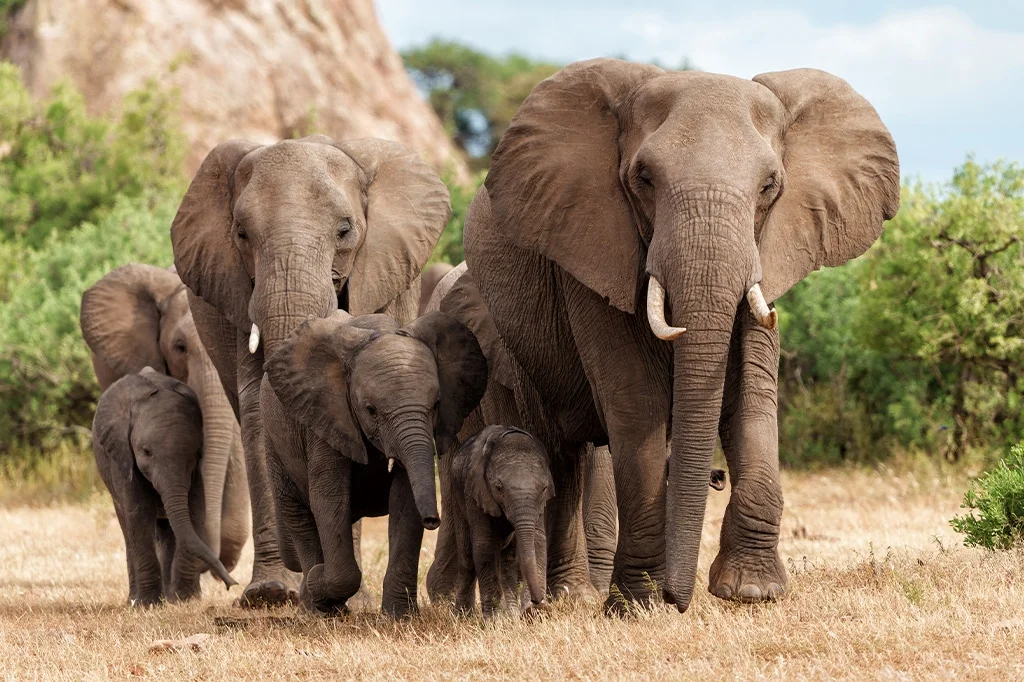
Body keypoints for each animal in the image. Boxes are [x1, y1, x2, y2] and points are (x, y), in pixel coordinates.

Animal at [92, 368, 237, 606]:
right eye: (146, 452)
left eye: (197, 453)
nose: (231, 584)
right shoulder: (122, 457)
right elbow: (139, 514)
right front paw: (147, 605)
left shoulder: (195, 473)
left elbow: (194, 511)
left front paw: (186, 600)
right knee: (128, 529)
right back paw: (134, 600)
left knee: (168, 531)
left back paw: (170, 598)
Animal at [261, 310, 488, 616]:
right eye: (371, 410)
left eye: (436, 405)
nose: (433, 520)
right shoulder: (325, 416)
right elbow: (328, 499)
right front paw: (320, 581)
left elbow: (405, 501)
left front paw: (400, 616)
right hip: (275, 440)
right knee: (298, 513)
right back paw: (317, 604)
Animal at [447, 425, 553, 617]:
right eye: (498, 488)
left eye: (544, 488)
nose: (539, 602)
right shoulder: (475, 491)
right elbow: (484, 545)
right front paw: (494, 620)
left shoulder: (540, 504)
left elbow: (537, 539)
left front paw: (532, 613)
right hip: (455, 494)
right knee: (467, 557)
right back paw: (462, 616)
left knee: (507, 559)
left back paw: (511, 614)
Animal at [461, 59, 900, 612]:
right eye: (643, 179)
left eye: (769, 186)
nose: (680, 597)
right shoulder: (591, 246)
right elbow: (636, 401)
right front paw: (638, 605)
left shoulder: (768, 254)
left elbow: (751, 395)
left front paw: (750, 591)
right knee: (558, 455)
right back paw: (563, 601)